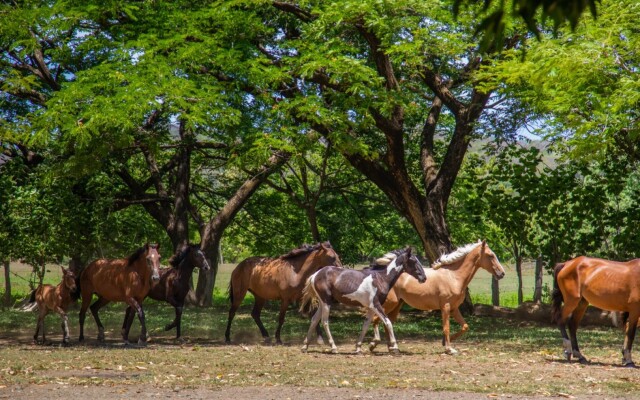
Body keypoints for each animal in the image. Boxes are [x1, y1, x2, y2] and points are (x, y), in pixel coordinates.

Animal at [370, 239, 504, 354]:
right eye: (491, 255)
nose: (502, 273)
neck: (454, 277)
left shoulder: (454, 308)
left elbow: (465, 326)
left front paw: (444, 342)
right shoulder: (445, 306)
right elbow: (446, 328)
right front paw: (449, 349)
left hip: (398, 304)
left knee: (387, 323)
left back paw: (392, 348)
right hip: (390, 303)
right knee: (376, 319)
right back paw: (374, 344)